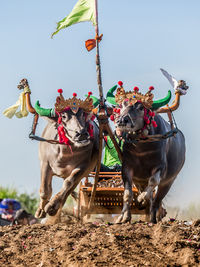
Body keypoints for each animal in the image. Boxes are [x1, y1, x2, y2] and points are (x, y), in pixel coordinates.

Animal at [107, 83, 187, 224]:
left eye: (140, 108)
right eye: (121, 105)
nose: (121, 121)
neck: (141, 148)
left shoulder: (160, 169)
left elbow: (153, 182)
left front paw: (141, 199)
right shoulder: (127, 168)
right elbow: (127, 194)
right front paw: (125, 217)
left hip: (169, 181)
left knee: (157, 199)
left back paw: (153, 218)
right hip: (139, 181)